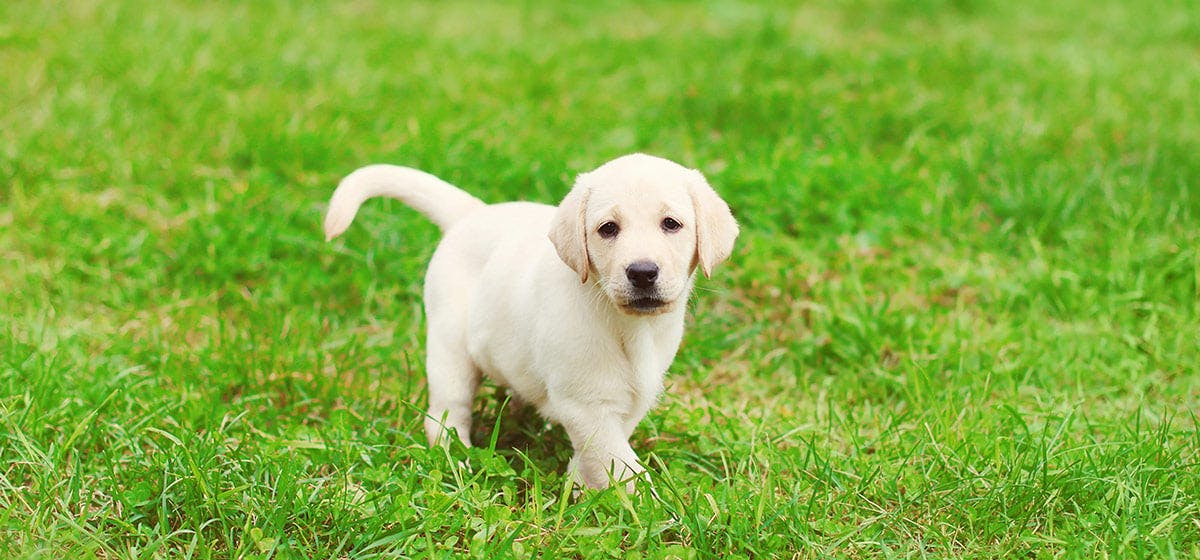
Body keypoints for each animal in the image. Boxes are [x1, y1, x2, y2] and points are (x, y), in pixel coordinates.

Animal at [328, 153, 739, 491]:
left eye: (671, 224)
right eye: (608, 228)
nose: (642, 272)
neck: (626, 325)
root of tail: (471, 214)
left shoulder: (630, 399)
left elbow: (601, 451)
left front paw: (580, 486)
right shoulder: (585, 403)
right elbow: (620, 464)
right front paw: (645, 508)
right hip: (450, 350)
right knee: (446, 413)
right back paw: (457, 461)